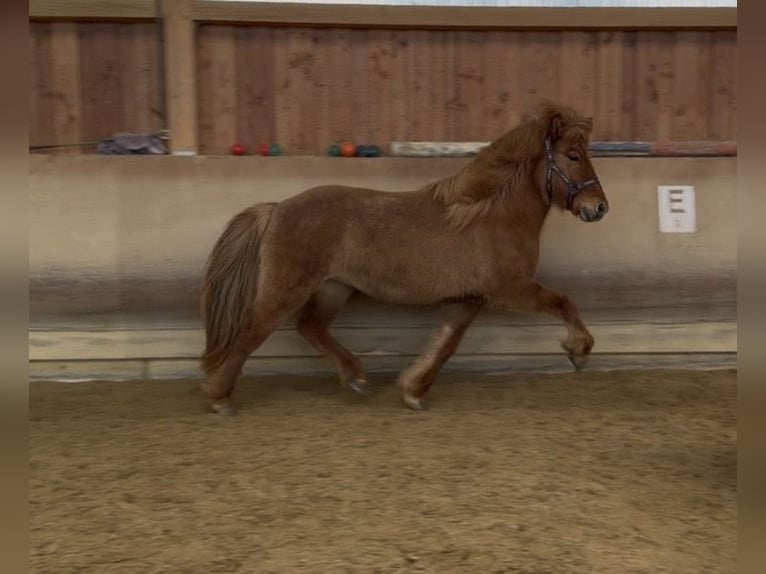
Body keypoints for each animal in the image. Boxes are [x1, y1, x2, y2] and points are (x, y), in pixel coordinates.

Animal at [199, 102, 609, 415]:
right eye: (573, 156)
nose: (599, 208)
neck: (489, 216)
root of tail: (277, 208)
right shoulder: (512, 289)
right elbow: (563, 301)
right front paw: (579, 351)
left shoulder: (469, 299)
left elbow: (446, 343)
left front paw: (414, 390)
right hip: (287, 289)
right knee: (251, 331)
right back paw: (220, 398)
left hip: (334, 288)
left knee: (311, 327)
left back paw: (355, 377)